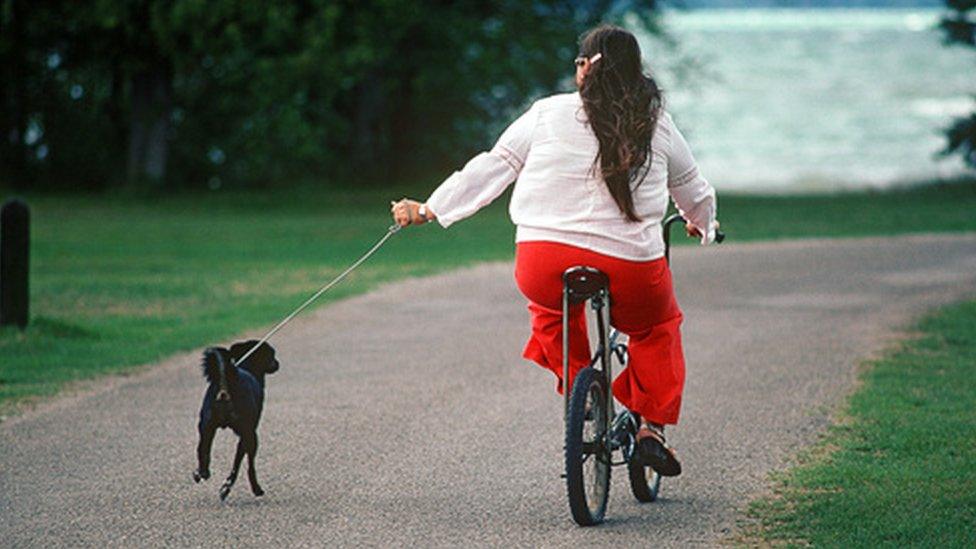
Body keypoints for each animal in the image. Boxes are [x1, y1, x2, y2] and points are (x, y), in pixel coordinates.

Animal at [193, 336, 278, 498]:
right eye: (272, 354)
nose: (277, 363)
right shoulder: (249, 434)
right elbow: (245, 464)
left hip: (206, 426)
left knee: (202, 449)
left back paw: (202, 472)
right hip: (249, 434)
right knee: (241, 465)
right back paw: (237, 487)